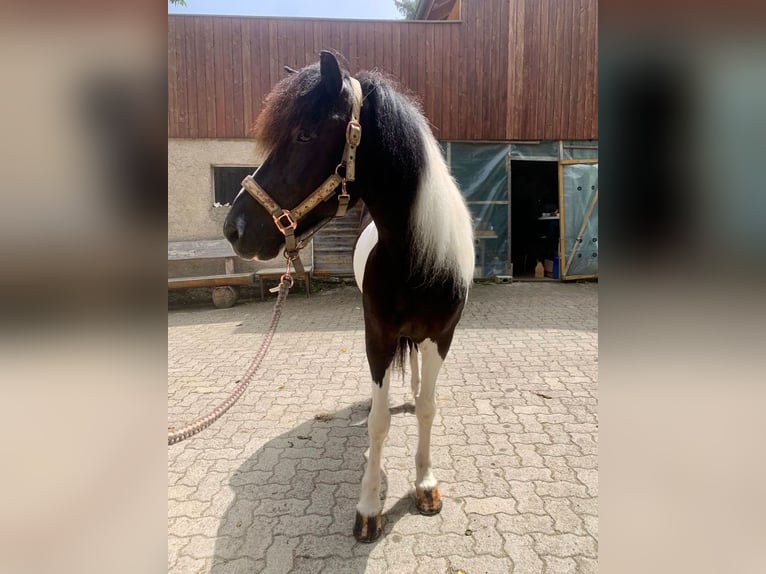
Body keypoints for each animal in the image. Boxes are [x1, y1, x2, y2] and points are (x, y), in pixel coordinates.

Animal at [223, 51, 475, 542]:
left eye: (305, 134)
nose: (234, 228)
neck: (416, 256)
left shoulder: (443, 336)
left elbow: (429, 409)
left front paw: (425, 483)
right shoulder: (376, 335)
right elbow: (377, 423)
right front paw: (369, 507)